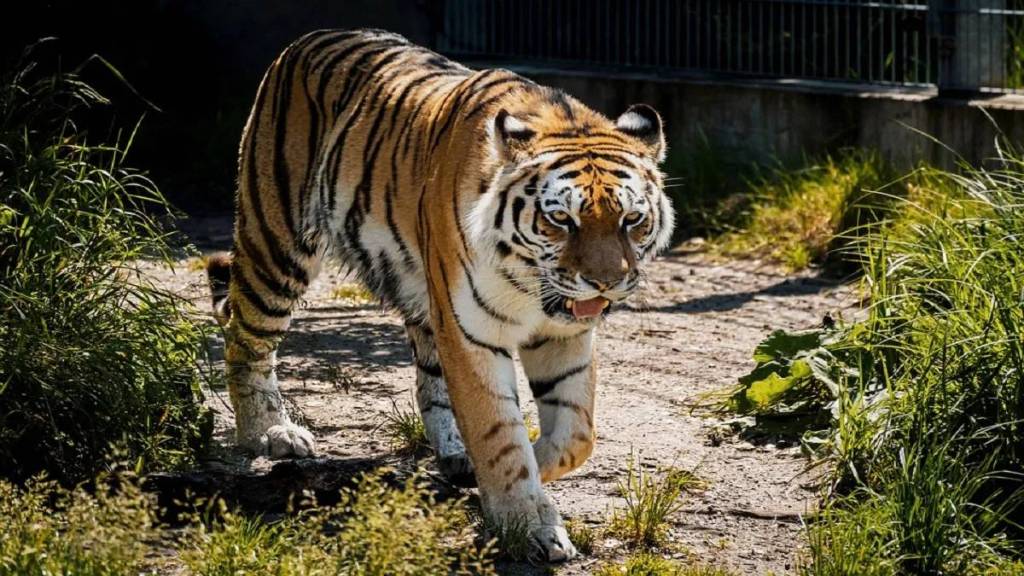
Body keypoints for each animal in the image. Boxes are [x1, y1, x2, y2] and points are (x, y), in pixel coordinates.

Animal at [204, 28, 675, 561]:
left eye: (631, 220)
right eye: (561, 219)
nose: (606, 282)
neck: (532, 284)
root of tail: (308, 39)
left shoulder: (561, 334)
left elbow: (576, 433)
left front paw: (527, 470)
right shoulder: (471, 332)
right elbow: (498, 433)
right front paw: (527, 522)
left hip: (419, 294)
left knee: (429, 382)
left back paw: (452, 454)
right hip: (277, 245)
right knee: (246, 341)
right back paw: (269, 433)